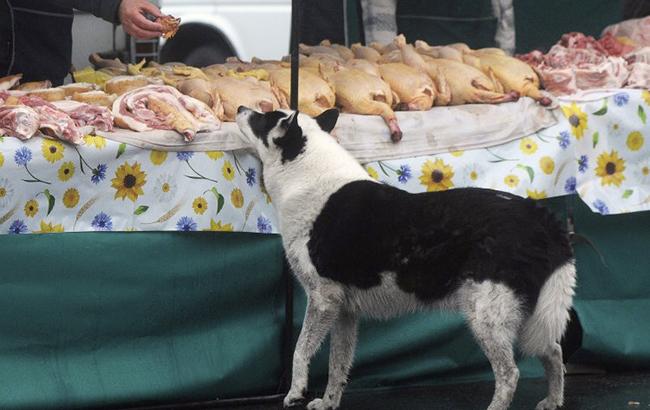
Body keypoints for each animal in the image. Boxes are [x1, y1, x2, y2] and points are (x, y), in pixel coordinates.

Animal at [235, 106, 576, 410]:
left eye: (263, 118)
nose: (239, 108)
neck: (306, 174)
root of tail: (540, 217)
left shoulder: (322, 299)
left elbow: (300, 350)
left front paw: (294, 393)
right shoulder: (343, 311)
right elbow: (337, 364)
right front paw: (329, 403)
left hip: (486, 316)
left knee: (509, 373)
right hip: (530, 314)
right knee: (554, 352)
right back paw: (554, 401)